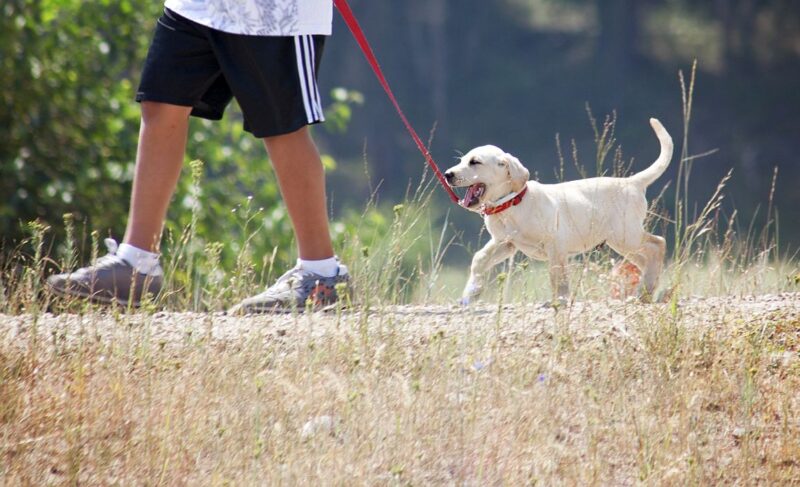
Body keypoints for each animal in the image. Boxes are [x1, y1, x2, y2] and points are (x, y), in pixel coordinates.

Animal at [446, 117, 672, 304]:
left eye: (475, 162)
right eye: (461, 161)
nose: (448, 174)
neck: (511, 205)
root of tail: (632, 182)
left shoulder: (555, 244)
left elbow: (558, 275)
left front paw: (560, 300)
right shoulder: (505, 243)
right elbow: (479, 259)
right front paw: (471, 293)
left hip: (626, 235)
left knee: (658, 244)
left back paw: (646, 289)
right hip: (621, 242)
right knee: (645, 259)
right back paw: (646, 290)